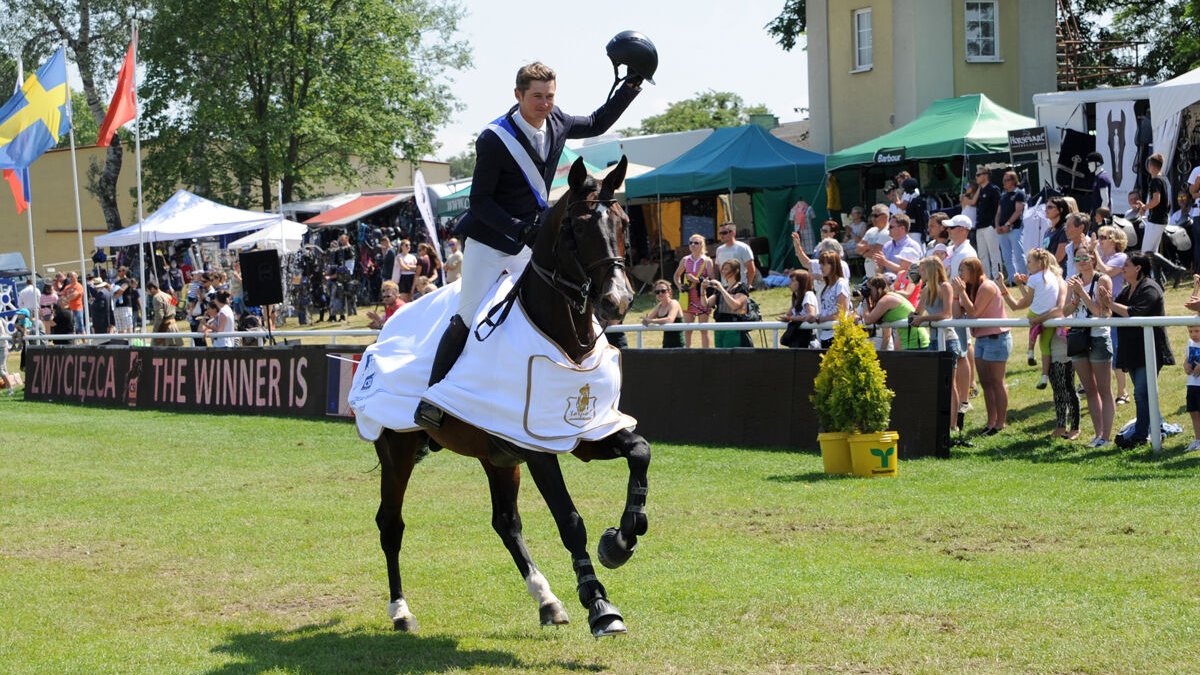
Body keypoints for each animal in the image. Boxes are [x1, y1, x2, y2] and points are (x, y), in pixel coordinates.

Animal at [374, 157, 657, 634]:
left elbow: (640, 451)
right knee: (390, 524)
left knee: (506, 523)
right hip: (398, 449)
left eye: (623, 223)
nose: (617, 300)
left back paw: (548, 600)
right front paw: (600, 605)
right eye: (578, 227)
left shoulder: (584, 434)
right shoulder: (538, 448)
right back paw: (400, 611)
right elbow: (570, 520)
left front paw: (620, 540)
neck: (567, 337)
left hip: (498, 458)